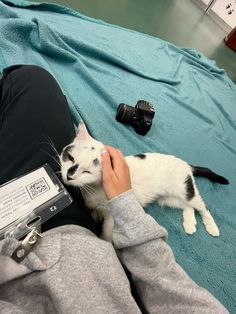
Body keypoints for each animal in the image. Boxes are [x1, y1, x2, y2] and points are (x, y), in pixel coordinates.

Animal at [59, 122, 229, 240]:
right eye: (71, 158)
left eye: (87, 171)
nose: (69, 175)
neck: (94, 190)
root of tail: (185, 163)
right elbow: (94, 209)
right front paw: (95, 214)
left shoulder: (113, 217)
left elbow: (108, 233)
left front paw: (105, 241)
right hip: (168, 199)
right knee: (188, 206)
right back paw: (189, 224)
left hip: (186, 190)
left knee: (201, 206)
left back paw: (212, 227)